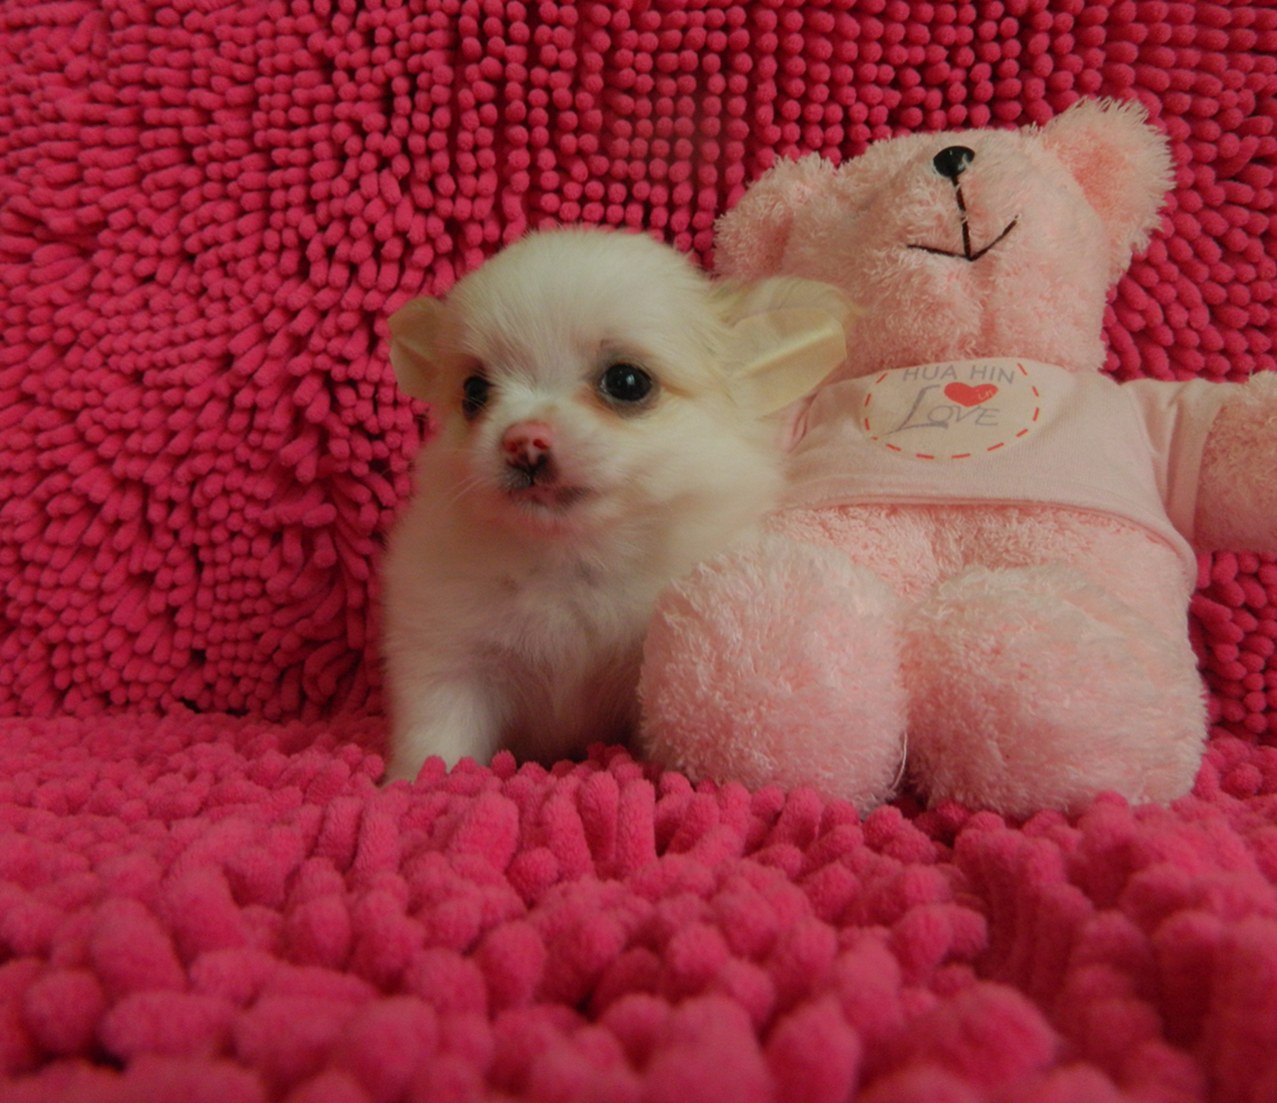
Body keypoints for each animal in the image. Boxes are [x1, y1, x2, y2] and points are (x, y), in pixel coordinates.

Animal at [380, 226, 851, 781]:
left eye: (627, 382)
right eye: (474, 393)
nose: (522, 441)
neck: (575, 561)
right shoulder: (448, 657)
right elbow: (436, 741)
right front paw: (414, 783)